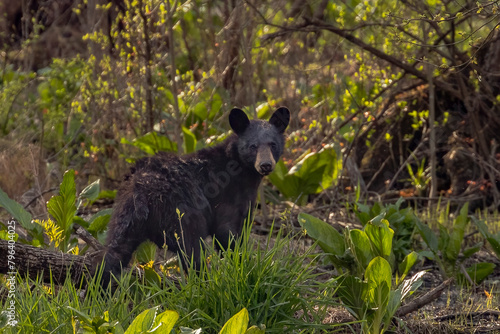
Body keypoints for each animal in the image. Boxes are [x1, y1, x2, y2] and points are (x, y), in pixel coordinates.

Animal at [101, 106, 290, 280]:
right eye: (253, 146)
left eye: (273, 144)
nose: (265, 165)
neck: (245, 175)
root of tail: (141, 191)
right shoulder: (226, 198)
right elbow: (225, 233)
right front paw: (240, 266)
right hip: (181, 213)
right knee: (191, 249)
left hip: (123, 216)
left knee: (113, 252)